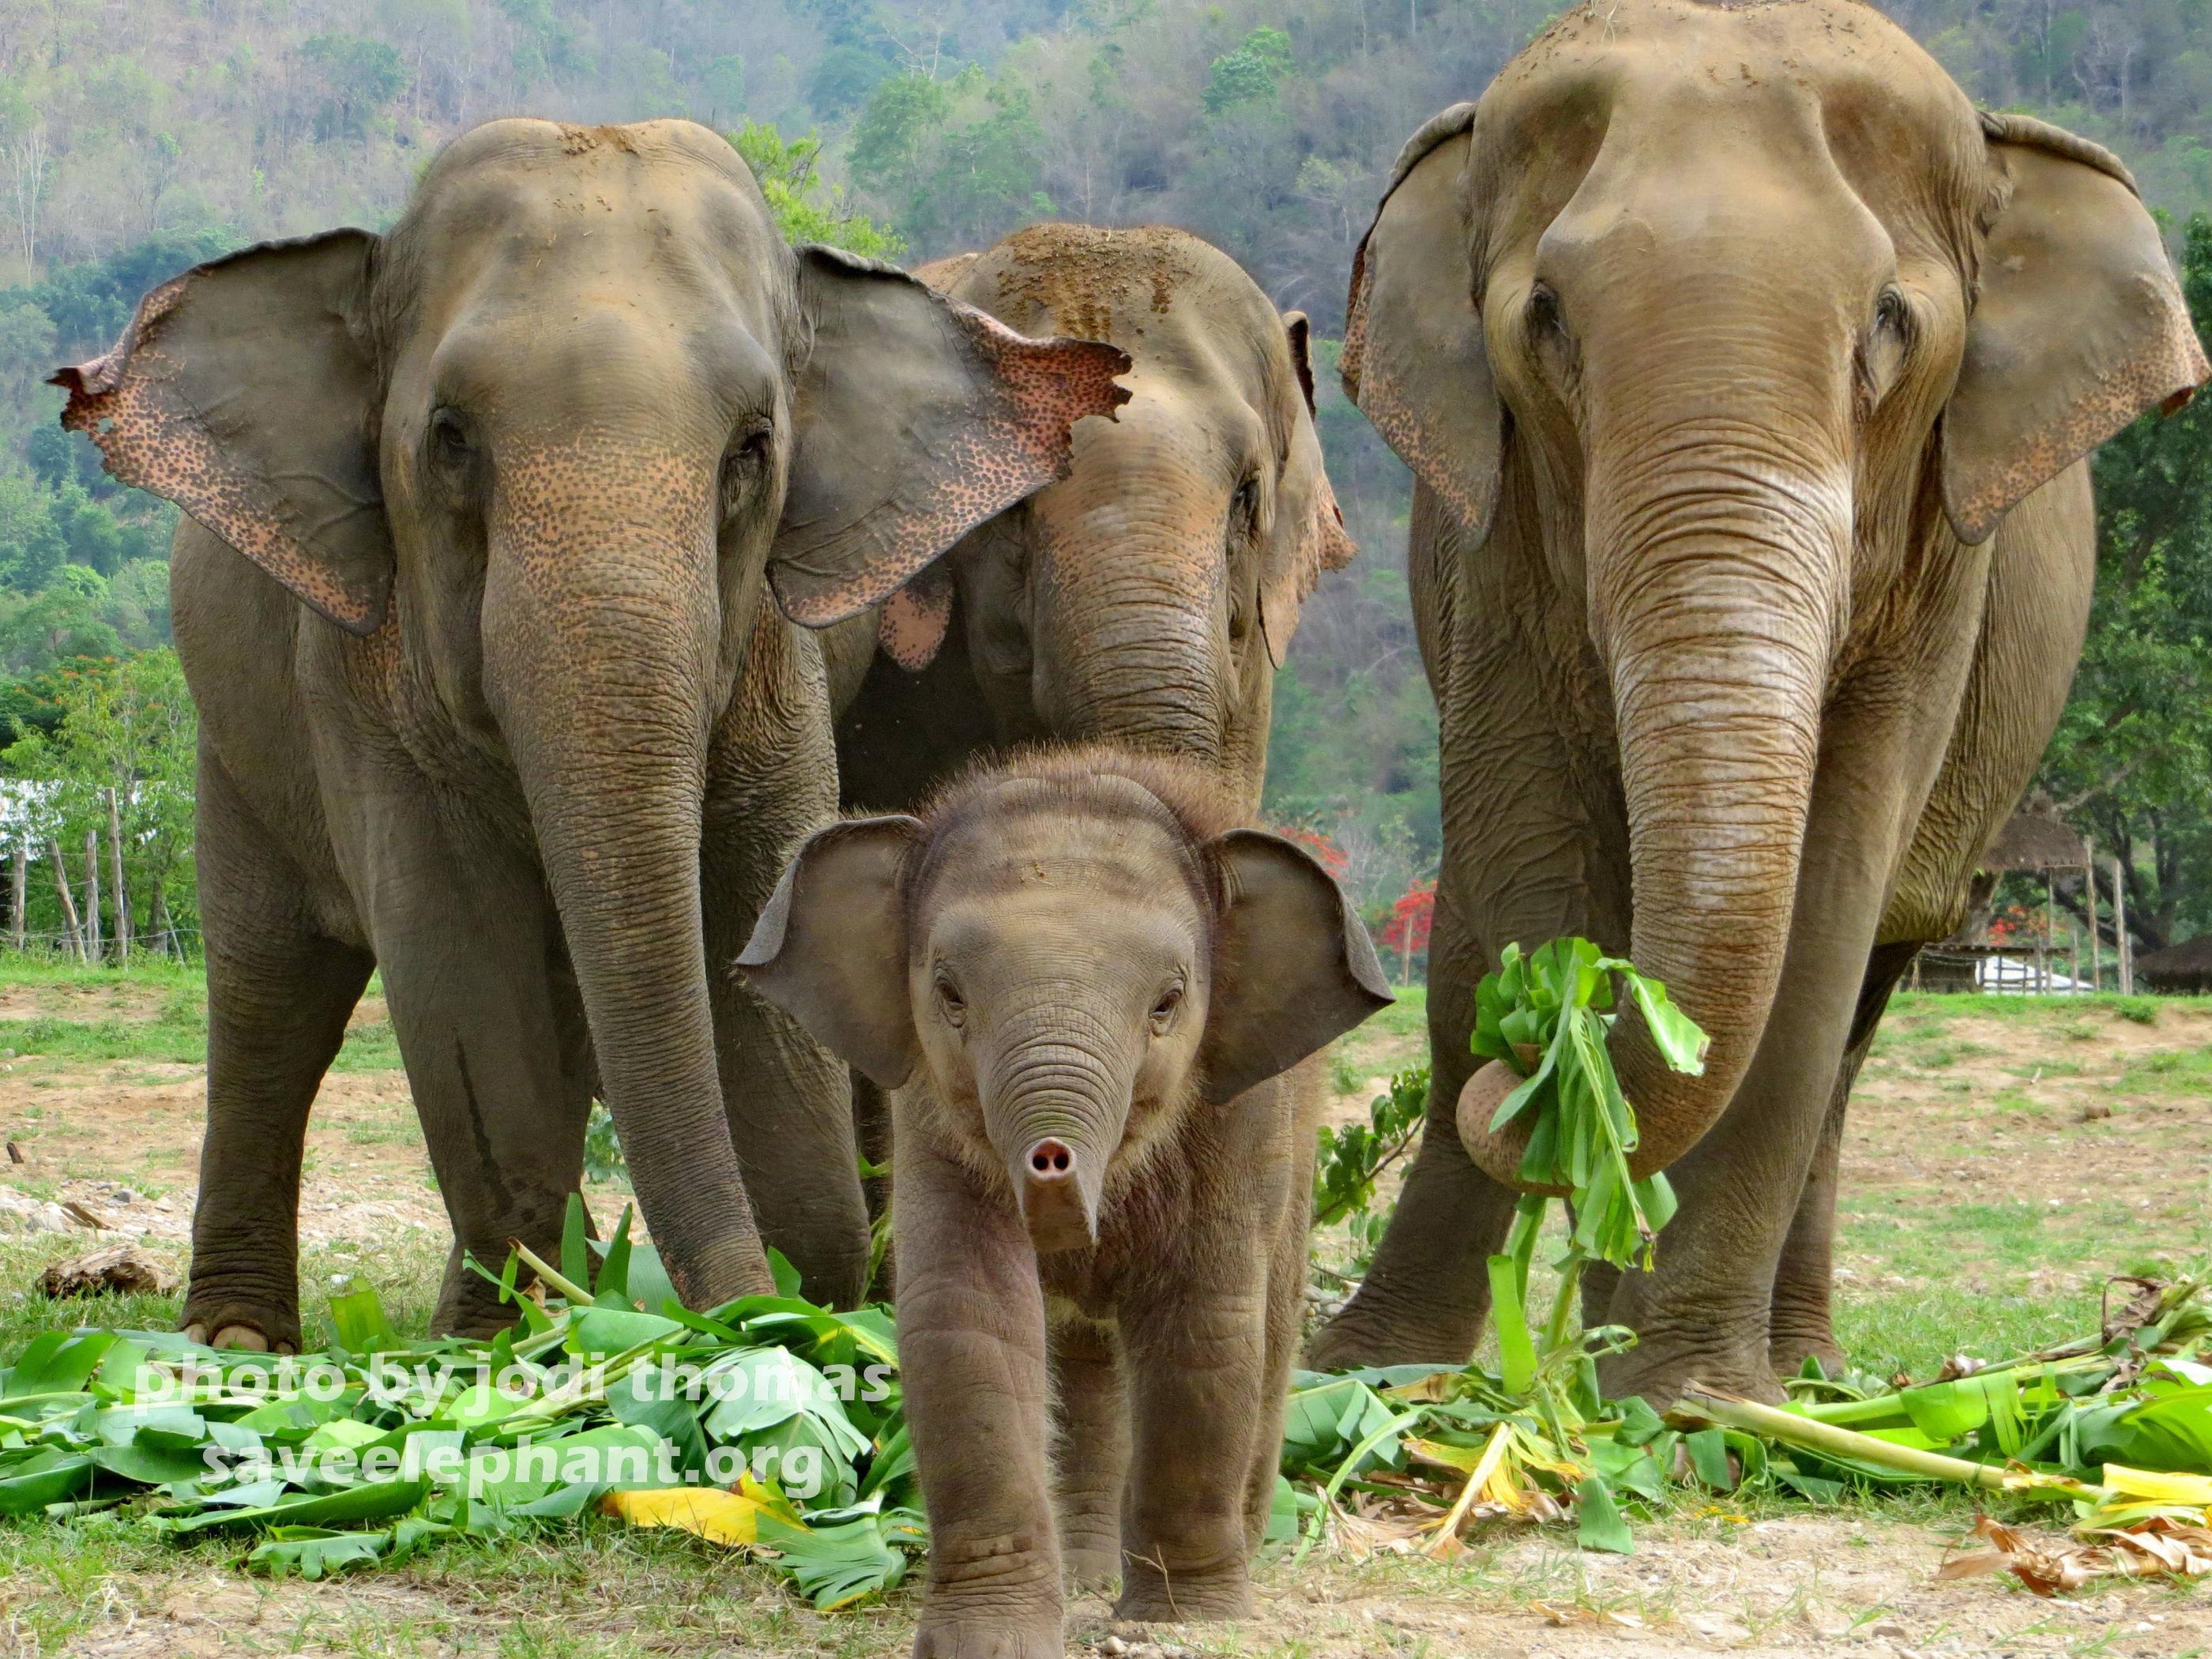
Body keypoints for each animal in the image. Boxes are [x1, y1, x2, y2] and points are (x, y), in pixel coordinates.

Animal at [54, 118, 1128, 1346]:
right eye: (450, 437)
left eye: (754, 446)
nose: (754, 1311)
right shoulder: (361, 678)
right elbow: (460, 965)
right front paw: (525, 1339)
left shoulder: (777, 661)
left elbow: (757, 910)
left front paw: (790, 1310)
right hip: (235, 744)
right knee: (271, 993)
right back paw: (259, 1337)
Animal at [737, 746, 1390, 1656]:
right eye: (950, 995)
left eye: (1167, 1002)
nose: (1052, 1164)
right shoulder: (929, 1111)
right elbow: (966, 1319)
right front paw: (990, 1640)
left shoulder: (1236, 1121)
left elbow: (1203, 1325)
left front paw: (1186, 1623)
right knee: (1084, 1359)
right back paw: (1087, 1575)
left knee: (1265, 1332)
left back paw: (1241, 1558)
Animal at [1305, 0, 2207, 1403]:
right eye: (1545, 317)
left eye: (1888, 323)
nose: (1518, 1069)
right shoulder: (1486, 540)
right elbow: (1523, 863)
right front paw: (1410, 1376)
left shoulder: (1939, 575)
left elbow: (1823, 914)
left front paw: (1694, 1402)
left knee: (1859, 1015)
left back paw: (1799, 1375)